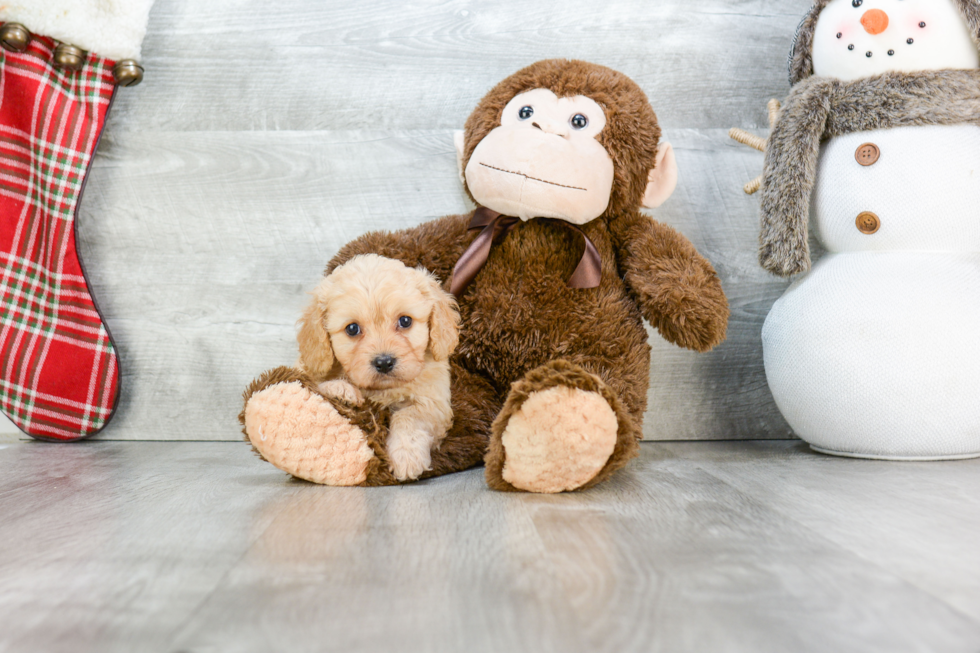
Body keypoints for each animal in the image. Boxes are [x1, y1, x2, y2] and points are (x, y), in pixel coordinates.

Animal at [294, 252, 460, 482]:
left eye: (405, 321)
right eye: (352, 329)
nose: (384, 362)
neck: (382, 391)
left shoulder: (435, 403)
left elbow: (410, 416)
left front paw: (406, 457)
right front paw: (340, 389)